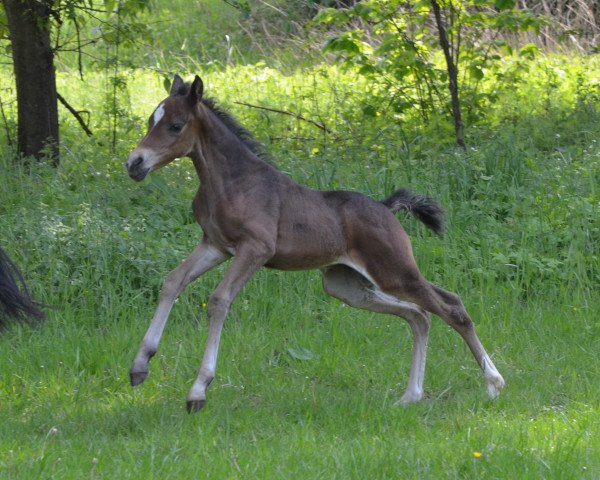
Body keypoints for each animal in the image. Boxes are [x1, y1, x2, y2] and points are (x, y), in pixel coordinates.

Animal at [126, 76, 506, 412]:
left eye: (176, 125)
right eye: (150, 120)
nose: (134, 163)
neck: (231, 181)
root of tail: (385, 207)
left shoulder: (255, 248)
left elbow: (219, 301)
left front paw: (198, 392)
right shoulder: (215, 245)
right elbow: (172, 281)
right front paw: (139, 367)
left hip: (394, 271)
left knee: (450, 305)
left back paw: (493, 383)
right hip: (347, 285)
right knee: (419, 316)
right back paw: (410, 396)